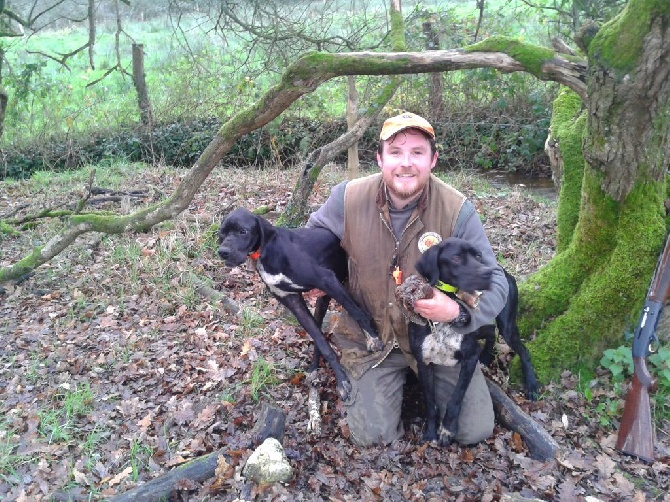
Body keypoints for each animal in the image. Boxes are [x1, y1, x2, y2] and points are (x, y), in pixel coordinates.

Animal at [218, 207, 380, 400]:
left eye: (243, 231)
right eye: (222, 232)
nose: (222, 251)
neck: (268, 252)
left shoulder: (327, 279)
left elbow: (357, 313)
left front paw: (373, 339)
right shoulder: (292, 301)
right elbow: (321, 341)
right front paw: (342, 381)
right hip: (321, 300)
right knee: (319, 334)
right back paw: (314, 367)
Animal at [404, 237, 540, 446]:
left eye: (478, 255)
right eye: (456, 258)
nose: (488, 273)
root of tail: (505, 271)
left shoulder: (469, 359)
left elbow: (456, 398)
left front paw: (448, 429)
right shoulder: (423, 362)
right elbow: (430, 402)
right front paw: (430, 432)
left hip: (507, 325)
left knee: (523, 350)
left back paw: (532, 385)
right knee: (491, 332)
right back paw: (486, 357)